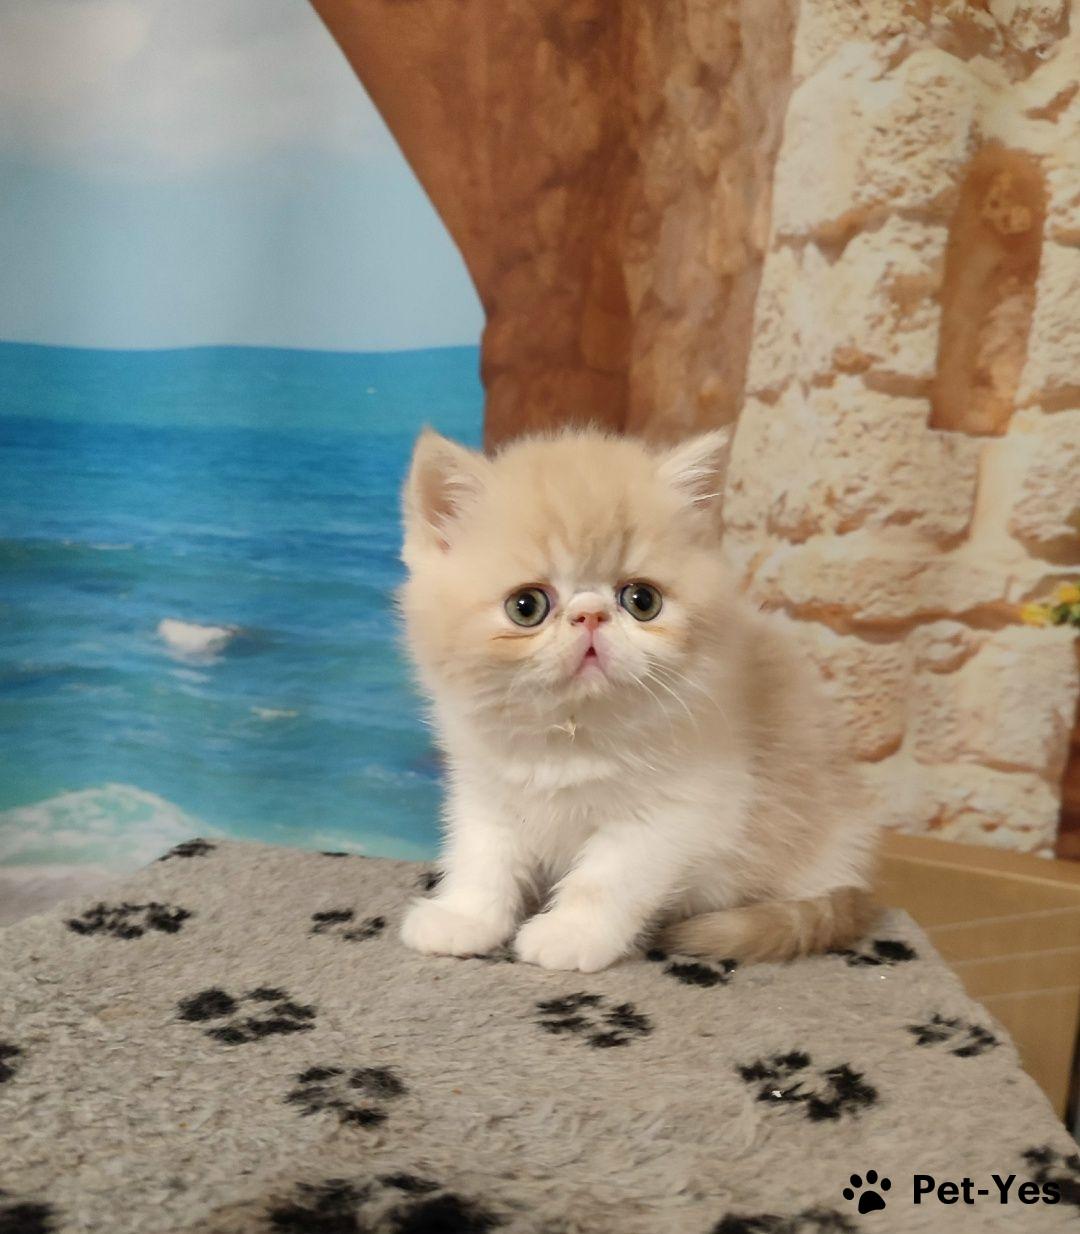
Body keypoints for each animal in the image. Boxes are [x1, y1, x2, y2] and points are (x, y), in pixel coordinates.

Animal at [397, 426, 878, 972]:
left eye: (642, 601)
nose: (590, 615)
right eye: (526, 606)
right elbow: (481, 855)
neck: (570, 733)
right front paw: (464, 917)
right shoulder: (484, 789)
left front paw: (571, 933)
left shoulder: (680, 808)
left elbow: (607, 878)